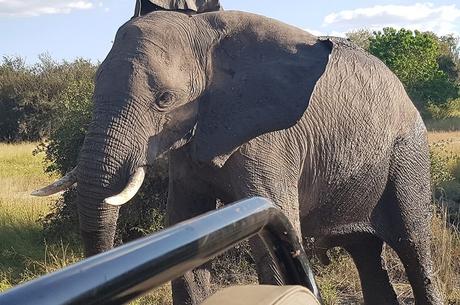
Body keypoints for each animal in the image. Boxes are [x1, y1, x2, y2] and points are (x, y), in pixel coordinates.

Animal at [32, 8, 442, 304]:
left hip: (407, 153)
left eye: (164, 99)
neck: (201, 32)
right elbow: (186, 234)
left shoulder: (269, 142)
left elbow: (272, 242)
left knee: (412, 244)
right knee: (366, 252)